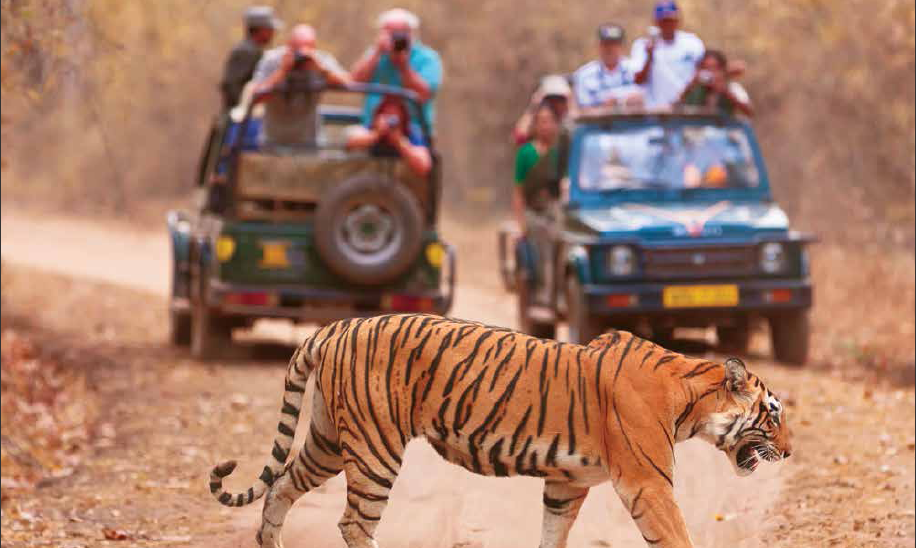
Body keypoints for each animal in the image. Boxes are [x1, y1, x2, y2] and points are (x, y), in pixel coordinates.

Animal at [211, 314, 792, 548]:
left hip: (329, 440)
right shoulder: (647, 483)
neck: (692, 400)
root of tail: (333, 327)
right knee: (353, 522)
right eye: (774, 414)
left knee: (280, 487)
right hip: (376, 449)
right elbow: (676, 536)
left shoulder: (566, 484)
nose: (789, 452)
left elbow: (552, 535)